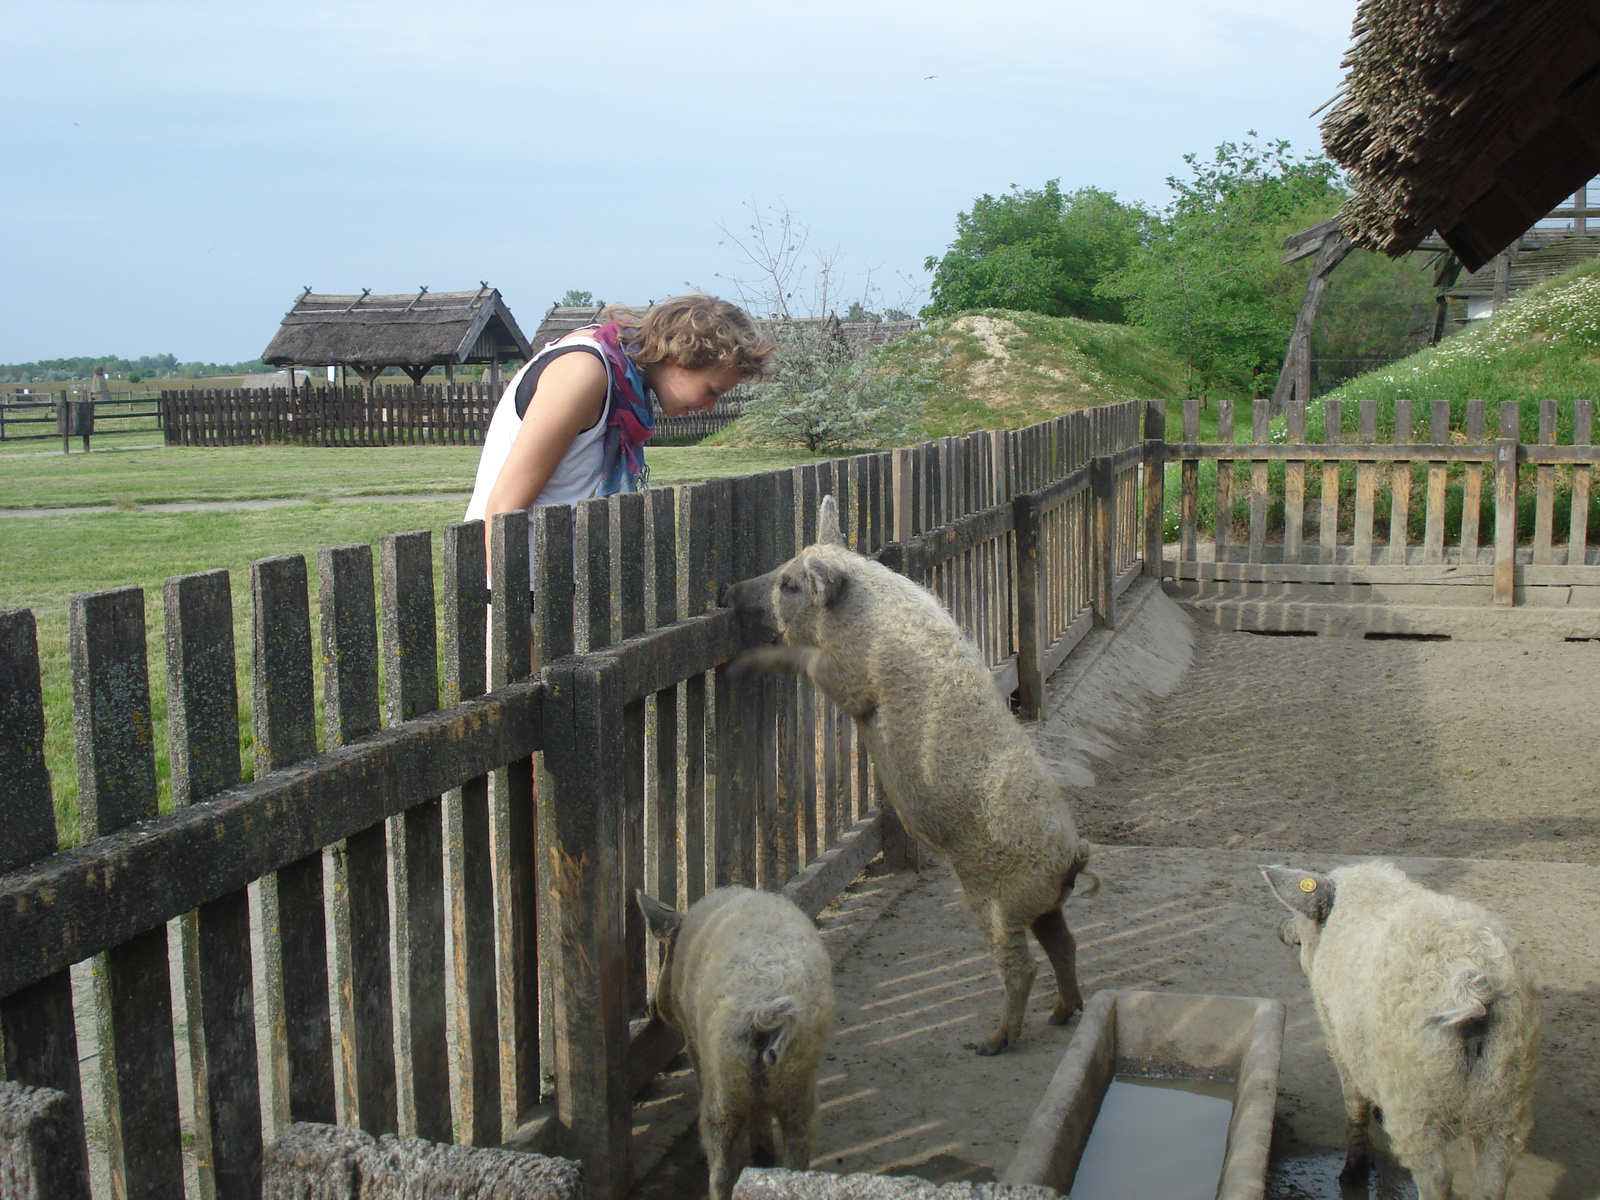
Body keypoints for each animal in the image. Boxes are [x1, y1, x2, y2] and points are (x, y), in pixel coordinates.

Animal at [636, 883, 838, 1200]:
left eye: (664, 952)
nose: (650, 1008)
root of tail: (766, 1011)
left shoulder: (694, 1041)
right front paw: (763, 1157)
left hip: (724, 1085)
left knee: (721, 1167)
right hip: (798, 1086)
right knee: (797, 1150)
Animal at [726, 492, 1100, 1056]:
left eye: (789, 584)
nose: (727, 591)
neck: (854, 614)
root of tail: (1069, 860)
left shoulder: (850, 678)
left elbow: (810, 665)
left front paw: (751, 663)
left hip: (997, 901)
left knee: (1023, 966)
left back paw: (990, 1042)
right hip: (1042, 907)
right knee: (1066, 944)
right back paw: (1061, 1015)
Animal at [1260, 864, 1536, 1200]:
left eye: (1301, 918)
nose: (1280, 929)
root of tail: (1473, 983)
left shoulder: (1337, 1034)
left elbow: (1354, 1102)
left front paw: (1351, 1176)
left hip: (1415, 1092)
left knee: (1437, 1174)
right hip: (1507, 1085)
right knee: (1493, 1175)